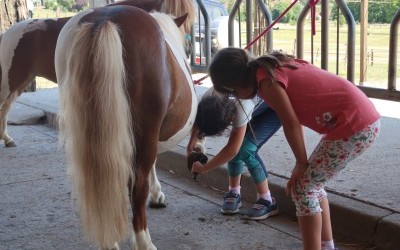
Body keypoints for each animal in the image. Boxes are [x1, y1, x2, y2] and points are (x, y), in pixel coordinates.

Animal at [0, 0, 195, 147]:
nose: (185, 51)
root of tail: (6, 34)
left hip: (20, 83)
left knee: (6, 107)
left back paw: (8, 139)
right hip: (11, 81)